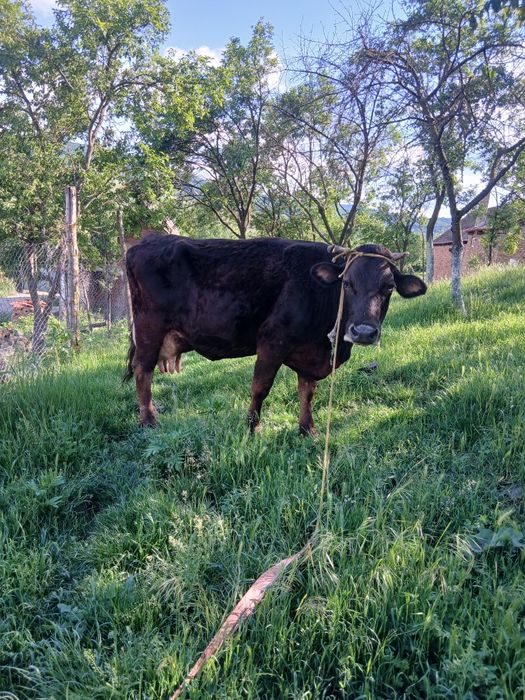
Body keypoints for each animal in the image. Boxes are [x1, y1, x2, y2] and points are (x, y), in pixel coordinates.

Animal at [124, 235, 426, 434]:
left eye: (388, 287)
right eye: (347, 284)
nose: (363, 331)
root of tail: (146, 242)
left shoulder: (309, 353)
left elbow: (307, 392)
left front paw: (307, 430)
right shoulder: (272, 341)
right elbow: (260, 388)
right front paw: (251, 429)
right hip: (149, 327)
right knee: (142, 371)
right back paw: (149, 421)